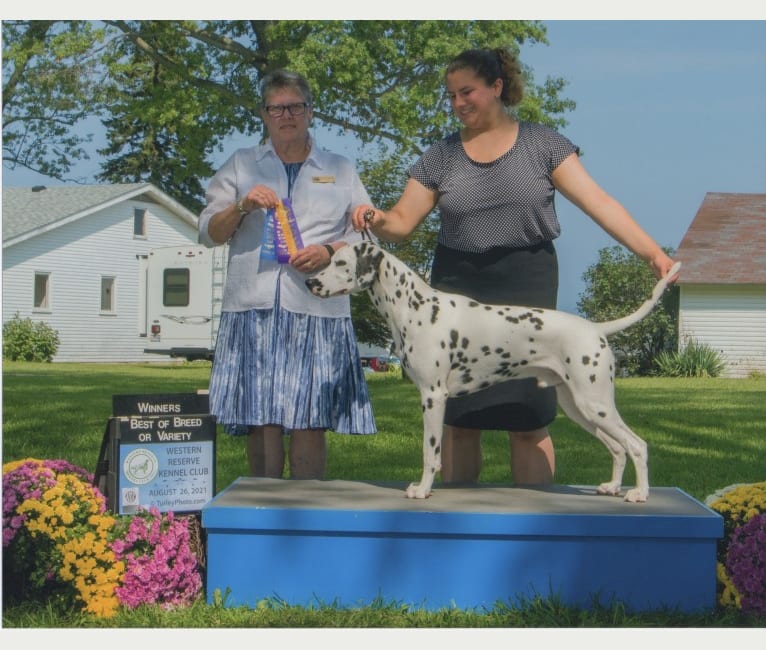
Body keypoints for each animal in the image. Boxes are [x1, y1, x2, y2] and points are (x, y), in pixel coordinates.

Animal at [306, 240, 684, 498]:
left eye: (341, 262)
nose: (310, 283)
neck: (415, 306)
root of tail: (596, 329)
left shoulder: (433, 397)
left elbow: (431, 452)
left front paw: (422, 489)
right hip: (579, 407)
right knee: (618, 448)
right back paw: (612, 487)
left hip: (595, 403)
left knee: (637, 445)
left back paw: (640, 494)